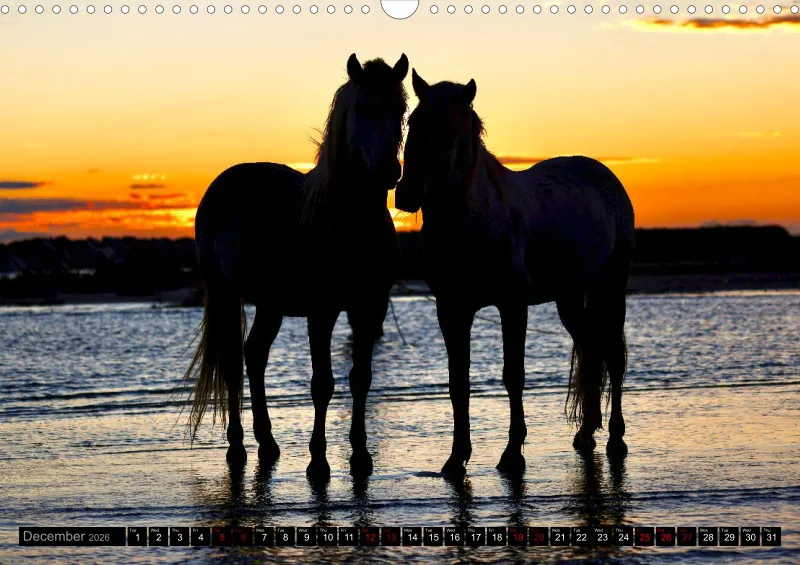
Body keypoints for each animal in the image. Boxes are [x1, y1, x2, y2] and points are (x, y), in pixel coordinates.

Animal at [184, 53, 409, 480]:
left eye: (401, 109)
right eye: (363, 107)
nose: (390, 170)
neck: (346, 221)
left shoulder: (368, 308)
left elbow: (361, 379)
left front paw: (360, 456)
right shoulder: (321, 312)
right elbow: (322, 383)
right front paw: (318, 462)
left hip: (270, 304)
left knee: (254, 354)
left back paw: (268, 443)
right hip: (225, 294)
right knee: (233, 363)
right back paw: (237, 447)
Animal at [394, 70, 635, 479]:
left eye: (454, 131)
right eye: (414, 122)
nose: (407, 193)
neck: (474, 221)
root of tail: (604, 175)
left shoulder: (512, 305)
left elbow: (513, 375)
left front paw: (512, 455)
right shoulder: (451, 309)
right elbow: (458, 380)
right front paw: (456, 459)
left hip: (611, 286)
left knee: (611, 354)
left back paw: (616, 439)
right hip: (570, 298)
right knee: (591, 348)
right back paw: (585, 433)